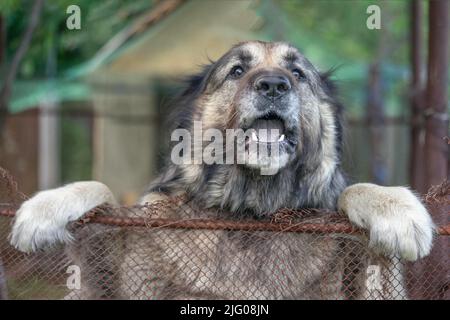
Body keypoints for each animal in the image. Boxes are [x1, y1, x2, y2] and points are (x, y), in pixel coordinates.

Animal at [7, 41, 436, 298]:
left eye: (298, 74)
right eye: (236, 71)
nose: (274, 85)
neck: (248, 213)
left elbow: (353, 192)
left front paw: (397, 210)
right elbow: (104, 191)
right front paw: (46, 209)